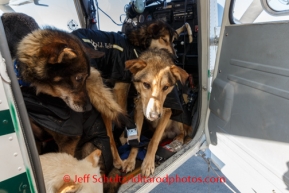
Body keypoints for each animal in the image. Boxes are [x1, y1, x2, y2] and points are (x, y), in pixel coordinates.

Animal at [123, 48, 189, 176]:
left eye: (166, 87)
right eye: (146, 84)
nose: (154, 116)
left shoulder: (167, 112)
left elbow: (154, 141)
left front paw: (148, 163)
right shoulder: (139, 109)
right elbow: (137, 138)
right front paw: (130, 160)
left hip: (178, 118)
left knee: (182, 132)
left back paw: (178, 139)